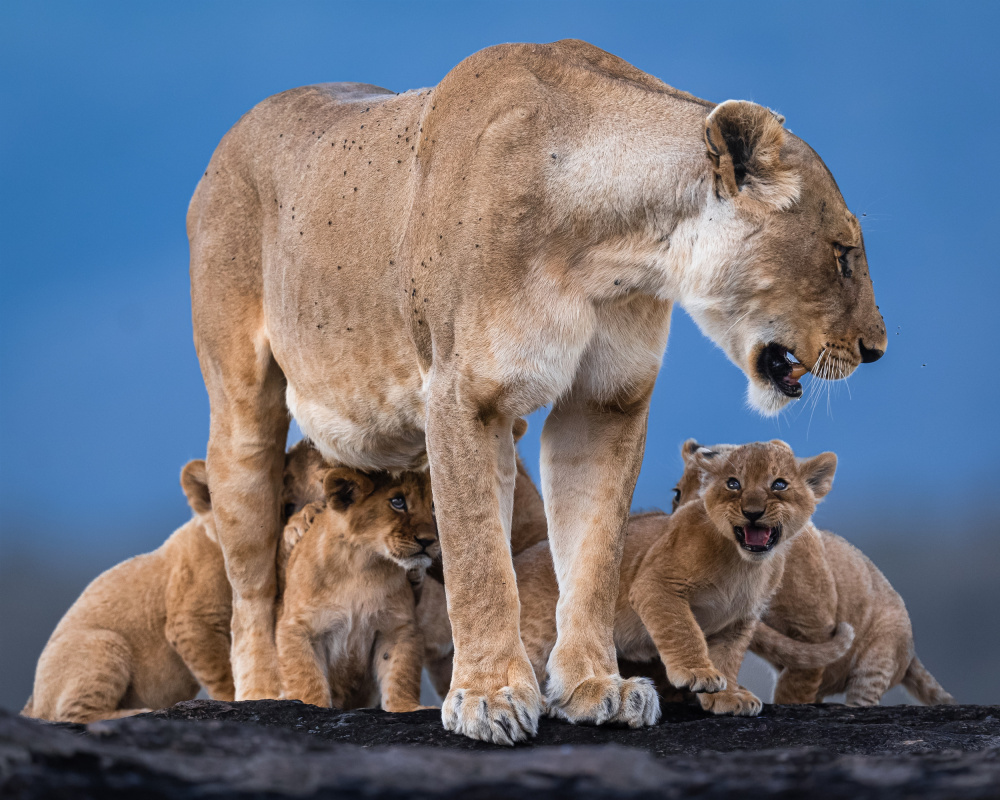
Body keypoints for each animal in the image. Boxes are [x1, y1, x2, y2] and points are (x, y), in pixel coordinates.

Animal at [276, 468, 438, 712]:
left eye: (434, 505)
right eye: (398, 502)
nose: (429, 541)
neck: (361, 564)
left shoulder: (396, 628)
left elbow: (400, 673)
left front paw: (406, 708)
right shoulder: (298, 626)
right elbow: (307, 677)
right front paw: (314, 705)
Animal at [517, 441, 838, 717]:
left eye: (779, 484)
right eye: (733, 483)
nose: (753, 512)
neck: (744, 566)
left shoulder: (738, 620)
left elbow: (728, 658)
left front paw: (727, 697)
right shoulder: (657, 583)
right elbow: (683, 628)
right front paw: (697, 674)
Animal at [672, 441, 954, 706]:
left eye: (778, 485)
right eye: (677, 493)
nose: (682, 527)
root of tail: (912, 653)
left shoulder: (814, 629)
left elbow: (796, 685)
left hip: (880, 655)